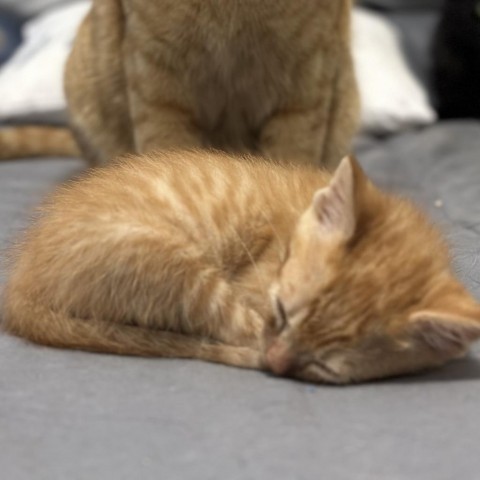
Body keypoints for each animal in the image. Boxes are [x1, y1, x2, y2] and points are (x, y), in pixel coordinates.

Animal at [3, 152, 480, 384]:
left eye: (324, 369)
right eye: (281, 312)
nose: (277, 363)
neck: (291, 228)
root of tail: (21, 288)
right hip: (173, 265)